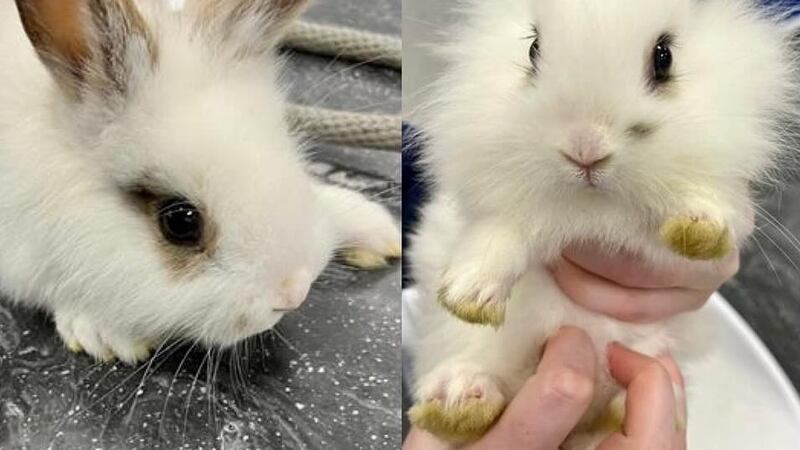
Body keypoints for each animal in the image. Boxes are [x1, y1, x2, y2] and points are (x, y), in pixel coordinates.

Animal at [407, 0, 800, 447]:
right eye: (533, 49)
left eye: (664, 57)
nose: (585, 150)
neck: (594, 207)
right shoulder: (504, 207)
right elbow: (498, 240)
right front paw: (467, 297)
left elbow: (706, 202)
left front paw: (700, 230)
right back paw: (459, 403)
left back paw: (620, 409)